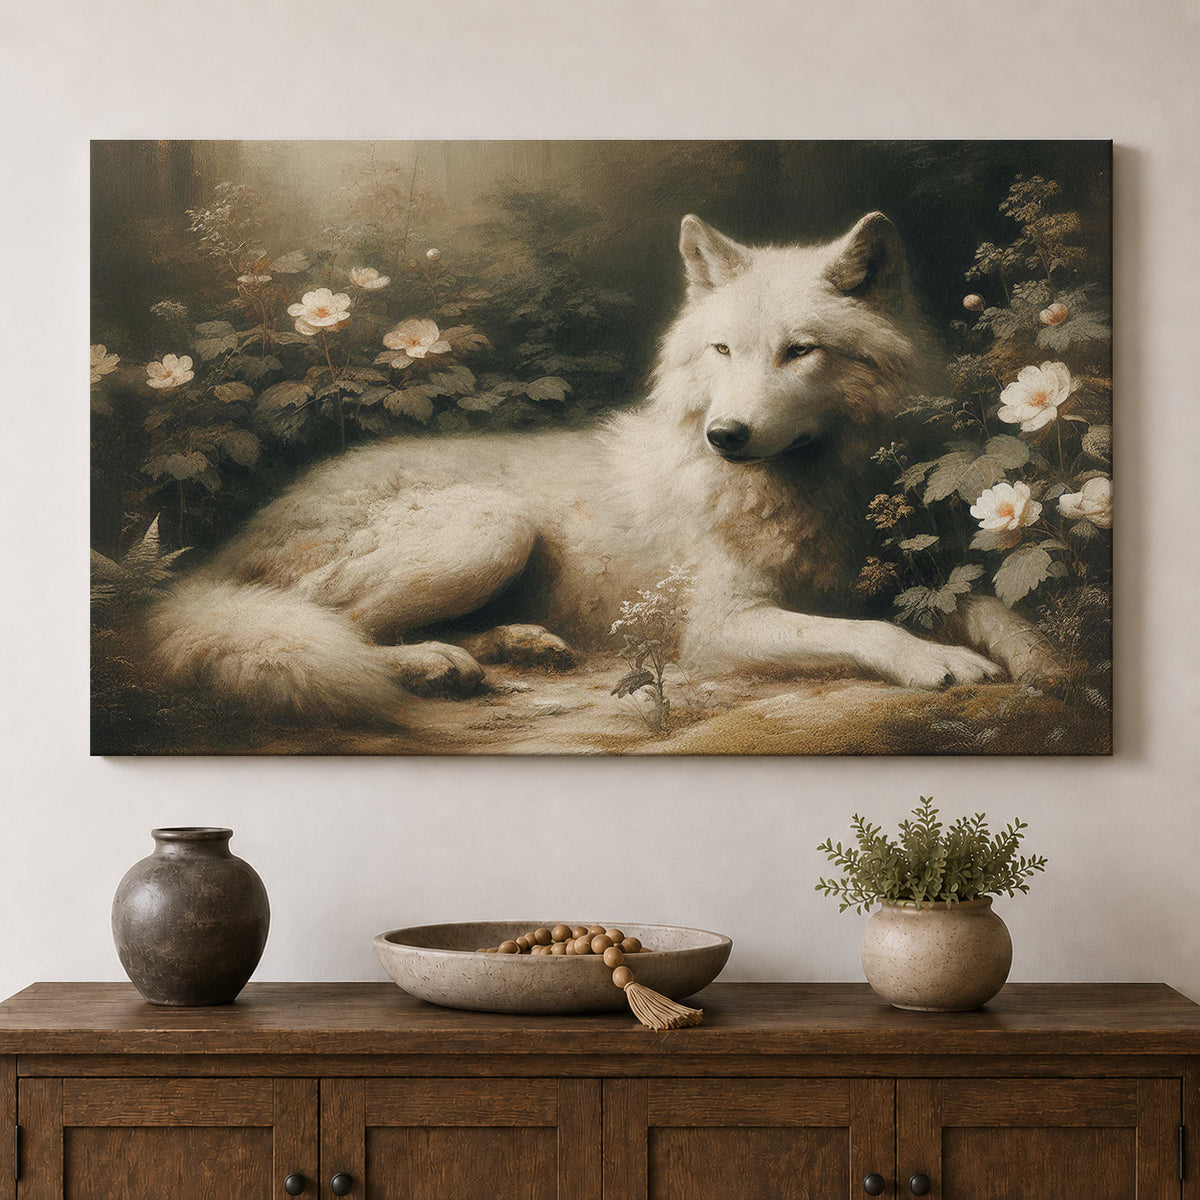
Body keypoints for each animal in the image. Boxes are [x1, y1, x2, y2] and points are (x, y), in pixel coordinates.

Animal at [150, 212, 1052, 721]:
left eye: (799, 352)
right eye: (723, 350)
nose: (726, 435)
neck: (806, 488)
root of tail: (222, 553)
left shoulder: (923, 574)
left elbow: (1000, 613)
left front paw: (1053, 664)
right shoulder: (720, 628)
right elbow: (864, 629)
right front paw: (935, 661)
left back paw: (518, 643)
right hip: (489, 523)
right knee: (326, 627)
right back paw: (432, 668)